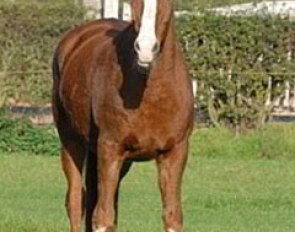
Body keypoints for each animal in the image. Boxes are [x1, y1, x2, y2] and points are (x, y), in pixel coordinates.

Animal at [52, 0, 195, 232]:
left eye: (168, 3)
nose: (145, 48)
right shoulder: (110, 148)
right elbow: (103, 217)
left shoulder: (175, 152)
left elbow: (172, 216)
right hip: (72, 143)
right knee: (76, 202)